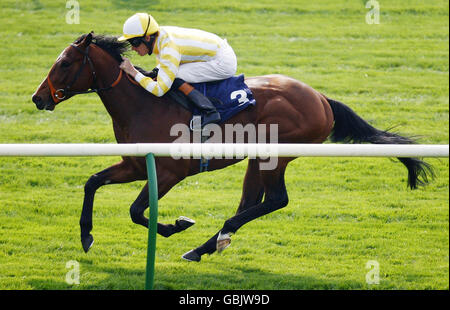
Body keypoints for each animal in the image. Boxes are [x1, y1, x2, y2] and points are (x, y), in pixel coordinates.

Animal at [29, 33, 430, 262]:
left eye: (65, 62)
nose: (38, 98)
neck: (143, 104)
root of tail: (320, 98)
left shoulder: (169, 172)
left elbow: (135, 211)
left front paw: (177, 224)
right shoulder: (135, 165)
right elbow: (93, 182)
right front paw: (86, 235)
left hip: (275, 155)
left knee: (276, 200)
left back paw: (213, 238)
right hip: (258, 158)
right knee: (252, 201)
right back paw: (207, 245)